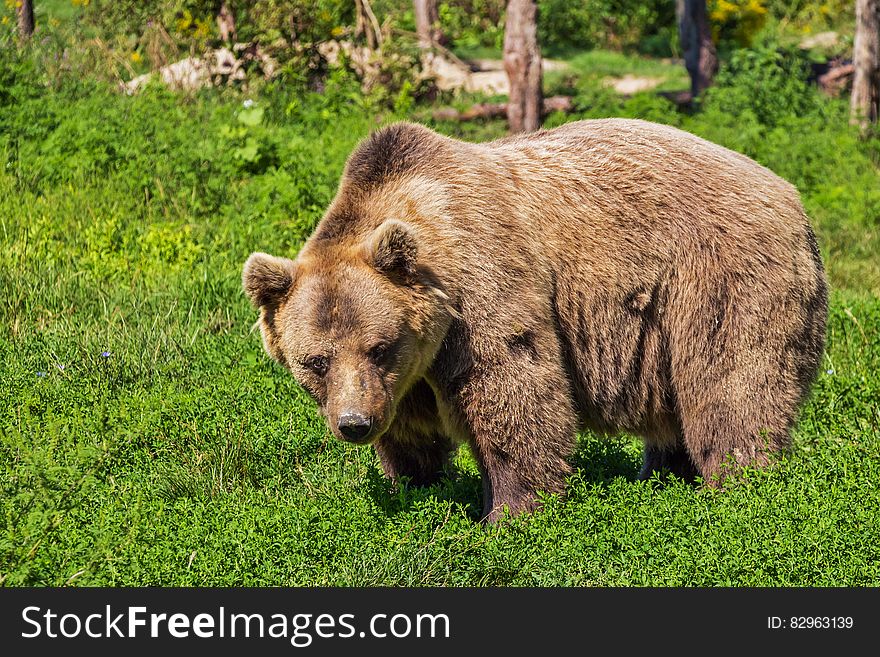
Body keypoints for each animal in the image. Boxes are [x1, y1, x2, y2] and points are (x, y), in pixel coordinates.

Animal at [244, 119, 828, 524]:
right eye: (316, 361)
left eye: (378, 346)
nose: (354, 424)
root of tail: (792, 196)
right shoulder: (407, 374)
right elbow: (412, 432)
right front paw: (417, 487)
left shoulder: (481, 290)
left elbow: (515, 393)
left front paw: (508, 514)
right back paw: (662, 477)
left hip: (719, 279)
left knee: (732, 387)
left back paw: (739, 486)